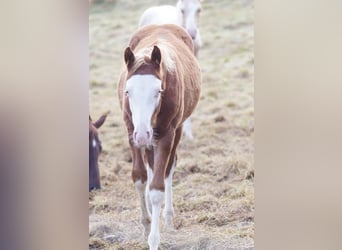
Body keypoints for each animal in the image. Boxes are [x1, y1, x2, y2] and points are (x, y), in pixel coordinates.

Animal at [118, 23, 202, 250]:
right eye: (127, 91)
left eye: (158, 91)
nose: (142, 134)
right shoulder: (131, 131)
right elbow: (139, 178)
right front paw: (146, 225)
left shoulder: (166, 135)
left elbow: (157, 187)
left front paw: (153, 239)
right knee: (149, 164)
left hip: (173, 130)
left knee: (168, 168)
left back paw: (169, 216)